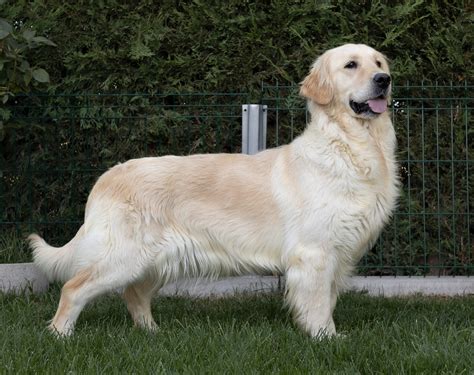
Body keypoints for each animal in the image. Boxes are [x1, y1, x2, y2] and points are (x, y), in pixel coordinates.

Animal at [27, 43, 396, 338]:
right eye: (351, 65)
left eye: (378, 62)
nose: (384, 80)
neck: (352, 146)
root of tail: (105, 178)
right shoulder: (314, 253)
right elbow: (318, 306)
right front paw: (326, 338)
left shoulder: (339, 255)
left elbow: (328, 300)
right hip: (123, 257)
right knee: (74, 288)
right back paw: (60, 335)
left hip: (156, 260)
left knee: (134, 294)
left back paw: (152, 332)